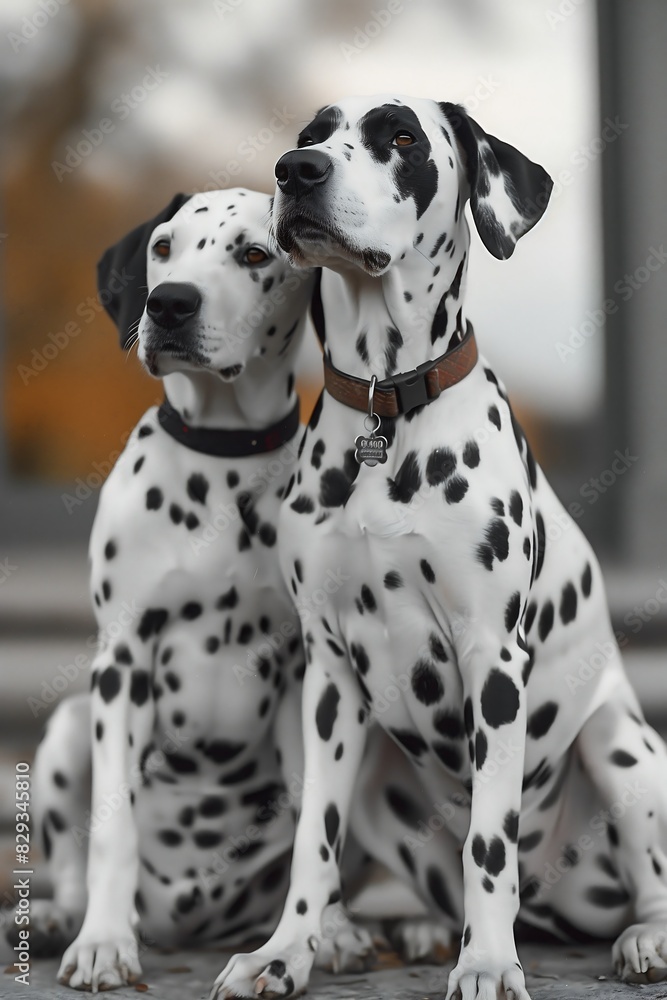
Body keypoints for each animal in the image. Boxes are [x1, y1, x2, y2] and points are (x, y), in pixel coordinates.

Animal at [18, 189, 380, 992]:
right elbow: (111, 827)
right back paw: (63, 917)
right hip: (68, 728)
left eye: (254, 254)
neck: (222, 461)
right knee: (69, 859)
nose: (171, 303)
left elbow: (317, 815)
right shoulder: (121, 663)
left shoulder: (305, 672)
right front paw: (103, 943)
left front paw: (327, 933)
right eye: (163, 248)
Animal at [211, 95, 667, 1000]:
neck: (387, 410)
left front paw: (486, 962)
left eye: (401, 137)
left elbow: (488, 843)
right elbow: (313, 843)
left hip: (620, 746)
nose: (296, 171)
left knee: (644, 882)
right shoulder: (327, 676)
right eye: (311, 134)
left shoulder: (493, 661)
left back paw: (640, 939)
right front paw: (285, 952)